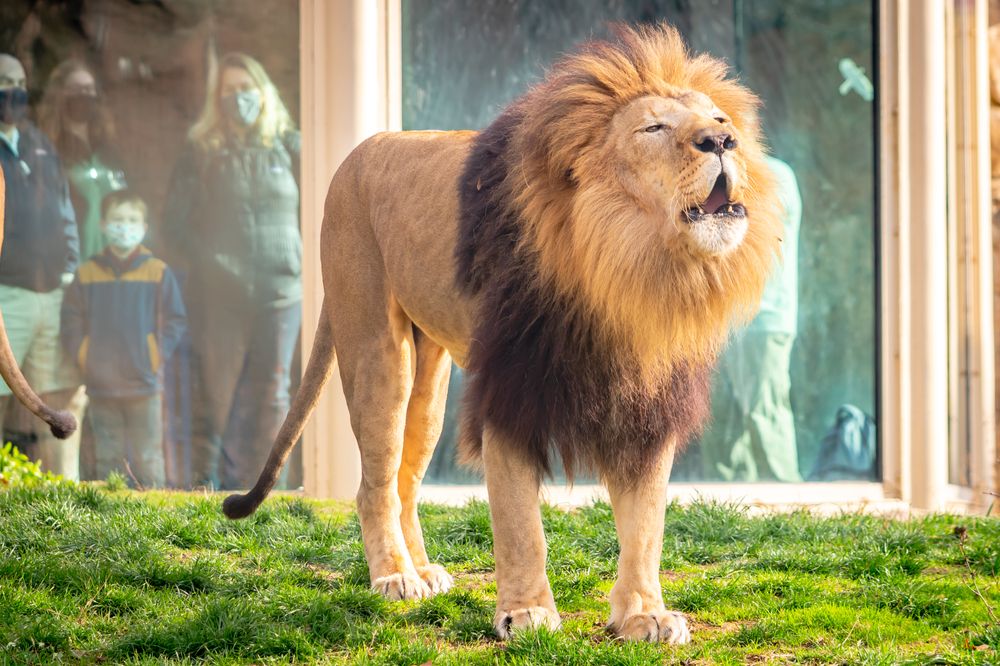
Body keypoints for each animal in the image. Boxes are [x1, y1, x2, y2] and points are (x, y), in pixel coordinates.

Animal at [224, 24, 782, 643]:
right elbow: (520, 524)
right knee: (374, 482)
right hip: (377, 350)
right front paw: (528, 612)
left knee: (405, 482)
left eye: (721, 119)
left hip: (430, 380)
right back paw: (394, 577)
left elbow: (645, 526)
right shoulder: (511, 394)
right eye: (654, 128)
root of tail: (354, 156)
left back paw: (423, 570)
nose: (722, 141)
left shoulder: (646, 408)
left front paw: (644, 614)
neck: (626, 271)